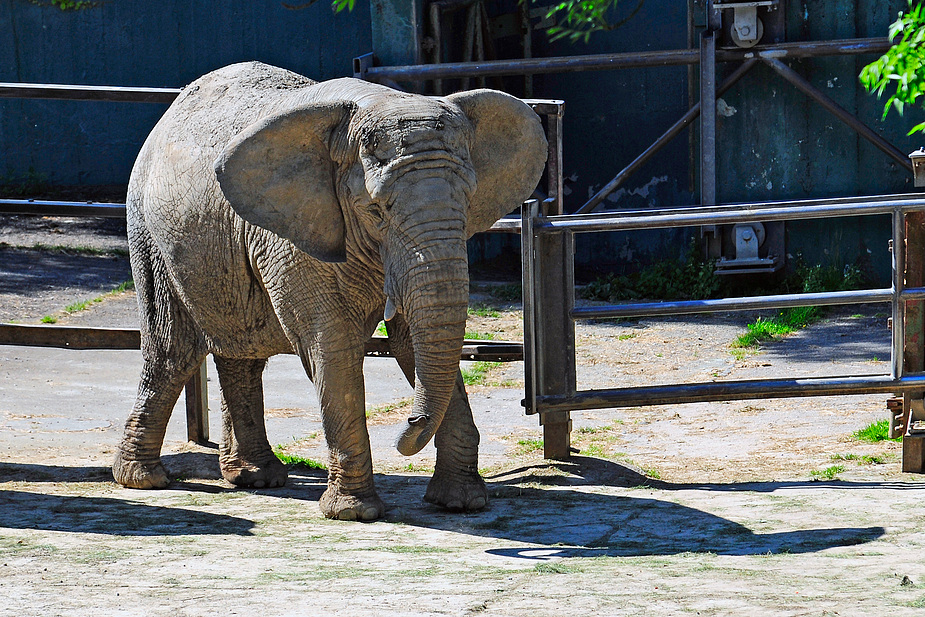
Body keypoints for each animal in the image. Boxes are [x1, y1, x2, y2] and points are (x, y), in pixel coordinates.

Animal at [111, 61, 544, 520]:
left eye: (469, 200)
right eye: (376, 211)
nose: (407, 427)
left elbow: (414, 341)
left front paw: (461, 502)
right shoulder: (293, 236)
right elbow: (331, 346)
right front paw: (354, 513)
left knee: (241, 350)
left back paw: (255, 478)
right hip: (148, 231)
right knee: (172, 350)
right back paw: (144, 480)